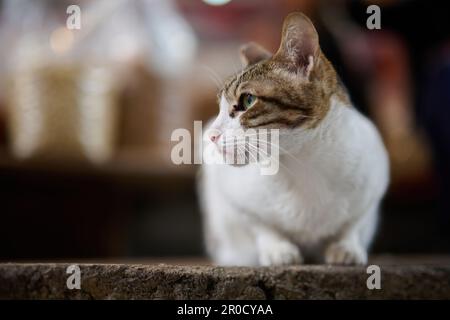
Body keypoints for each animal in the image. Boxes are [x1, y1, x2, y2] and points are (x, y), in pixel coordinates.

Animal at [199, 11, 388, 264]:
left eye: (248, 100)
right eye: (219, 108)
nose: (211, 135)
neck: (302, 164)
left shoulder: (374, 184)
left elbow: (354, 223)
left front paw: (346, 246)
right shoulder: (231, 194)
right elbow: (260, 224)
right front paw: (277, 249)